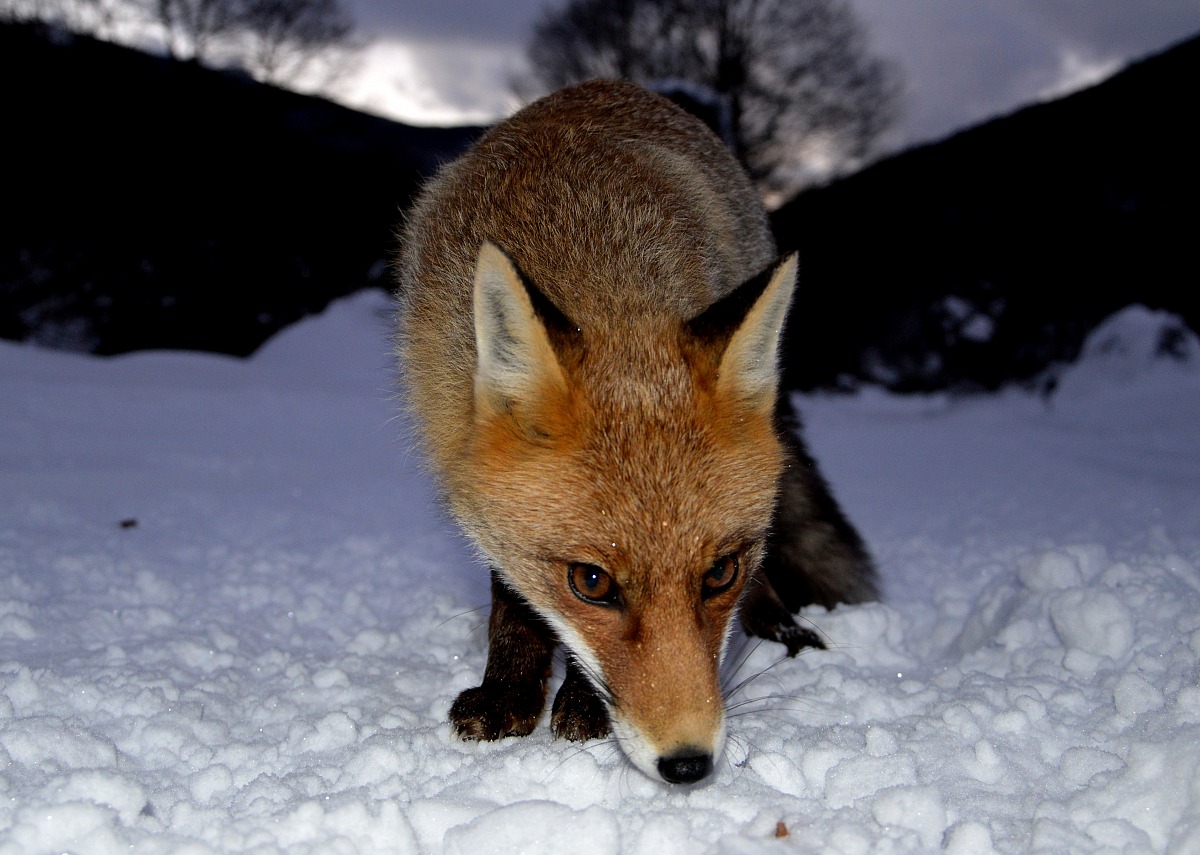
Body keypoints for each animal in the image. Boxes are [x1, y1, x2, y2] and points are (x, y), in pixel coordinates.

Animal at [394, 79, 876, 785]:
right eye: (591, 583)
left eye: (721, 573)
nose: (689, 764)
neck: (585, 255)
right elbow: (513, 595)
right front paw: (509, 694)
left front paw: (579, 705)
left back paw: (785, 631)